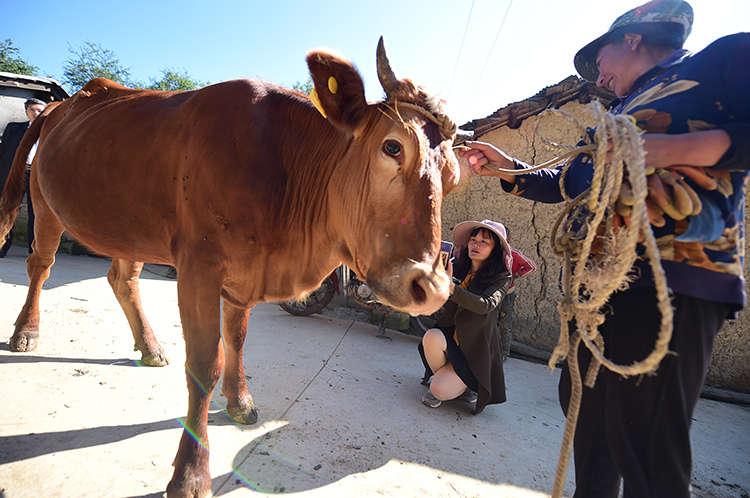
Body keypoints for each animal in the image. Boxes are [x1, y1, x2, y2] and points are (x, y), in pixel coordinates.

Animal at [0, 38, 458, 494]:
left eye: (454, 177)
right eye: (393, 146)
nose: (432, 287)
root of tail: (58, 106)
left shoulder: (247, 273)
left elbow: (236, 340)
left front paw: (240, 403)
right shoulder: (198, 266)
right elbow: (206, 362)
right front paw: (191, 472)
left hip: (128, 226)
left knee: (122, 280)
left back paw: (149, 347)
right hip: (44, 205)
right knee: (41, 265)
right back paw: (26, 331)